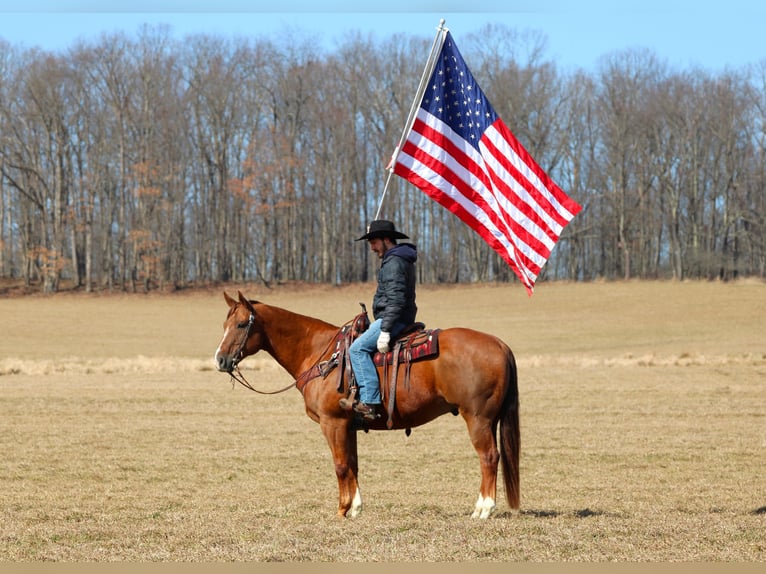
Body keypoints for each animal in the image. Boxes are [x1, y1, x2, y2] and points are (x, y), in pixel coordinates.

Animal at [214, 290, 520, 519]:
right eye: (224, 325)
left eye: (241, 325)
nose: (220, 360)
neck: (321, 353)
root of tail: (500, 344)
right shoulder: (348, 426)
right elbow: (353, 464)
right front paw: (355, 508)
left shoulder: (332, 423)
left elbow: (339, 465)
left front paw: (341, 510)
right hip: (489, 420)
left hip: (478, 418)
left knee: (488, 457)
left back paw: (483, 509)